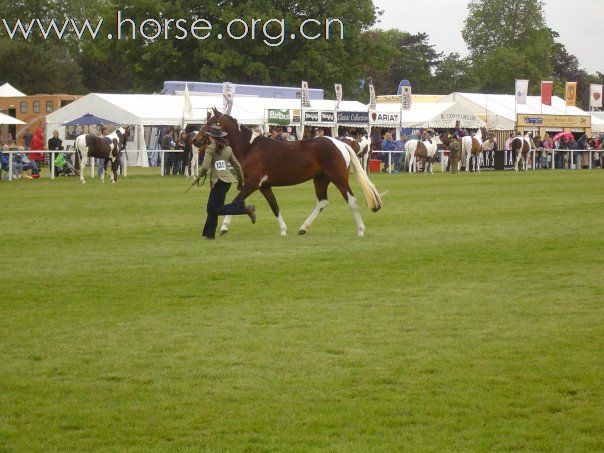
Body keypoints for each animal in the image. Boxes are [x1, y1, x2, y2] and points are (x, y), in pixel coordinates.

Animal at [193, 108, 382, 237]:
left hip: (339, 179)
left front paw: (224, 227)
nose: (195, 140)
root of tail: (340, 143)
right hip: (320, 179)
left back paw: (360, 230)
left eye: (210, 123)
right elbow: (274, 206)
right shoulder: (264, 186)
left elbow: (235, 201)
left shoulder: (252, 184)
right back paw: (303, 228)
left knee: (352, 201)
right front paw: (283, 230)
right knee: (322, 202)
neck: (250, 147)